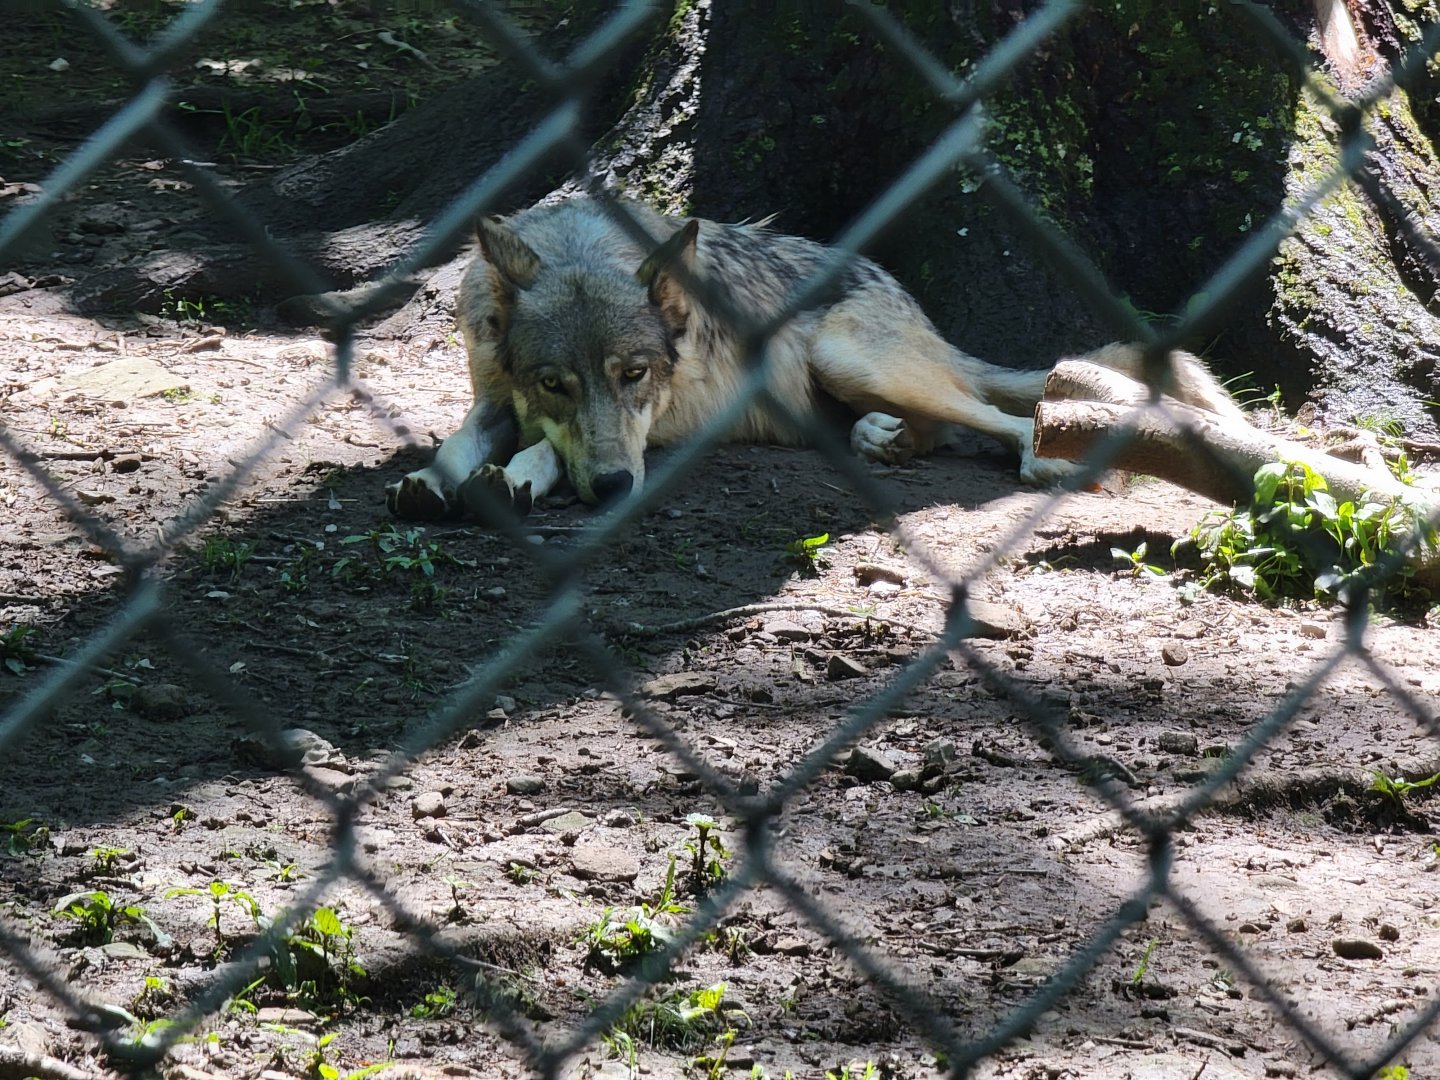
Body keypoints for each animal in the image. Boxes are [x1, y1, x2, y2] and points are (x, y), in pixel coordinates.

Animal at [385, 196, 1244, 521]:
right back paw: (880, 440)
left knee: (1007, 417)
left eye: (636, 376)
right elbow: (463, 438)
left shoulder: (647, 428)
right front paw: (432, 479)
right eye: (553, 382)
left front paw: (515, 478)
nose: (617, 489)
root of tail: (904, 296)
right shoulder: (493, 396)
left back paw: (1049, 462)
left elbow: (541, 451)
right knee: (946, 429)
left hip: (844, 354)